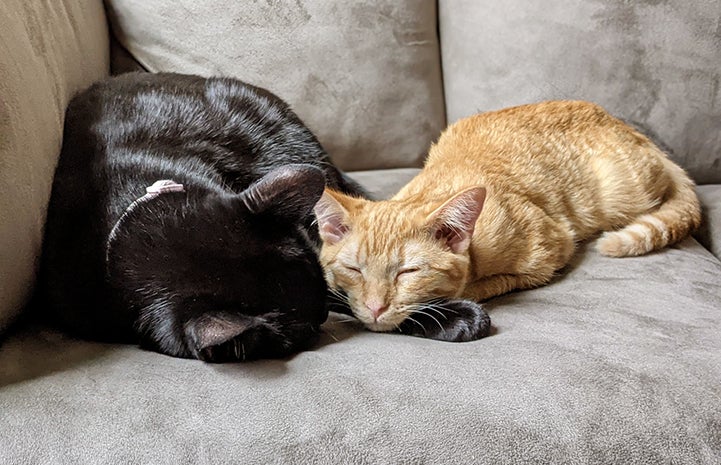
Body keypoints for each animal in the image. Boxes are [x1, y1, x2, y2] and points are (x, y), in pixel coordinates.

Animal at [314, 99, 696, 340]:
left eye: (408, 272)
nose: (376, 307)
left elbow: (491, 284)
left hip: (627, 193)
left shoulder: (551, 249)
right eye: (354, 270)